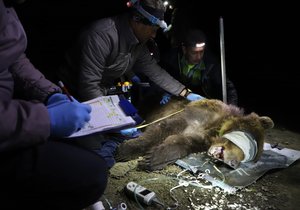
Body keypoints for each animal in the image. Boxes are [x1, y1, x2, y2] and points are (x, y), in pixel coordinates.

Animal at [115, 98, 274, 171]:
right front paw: (125, 150)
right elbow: (164, 128)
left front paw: (152, 159)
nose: (233, 164)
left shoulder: (201, 138)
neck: (216, 128)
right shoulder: (196, 116)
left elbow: (181, 142)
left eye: (249, 158)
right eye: (249, 143)